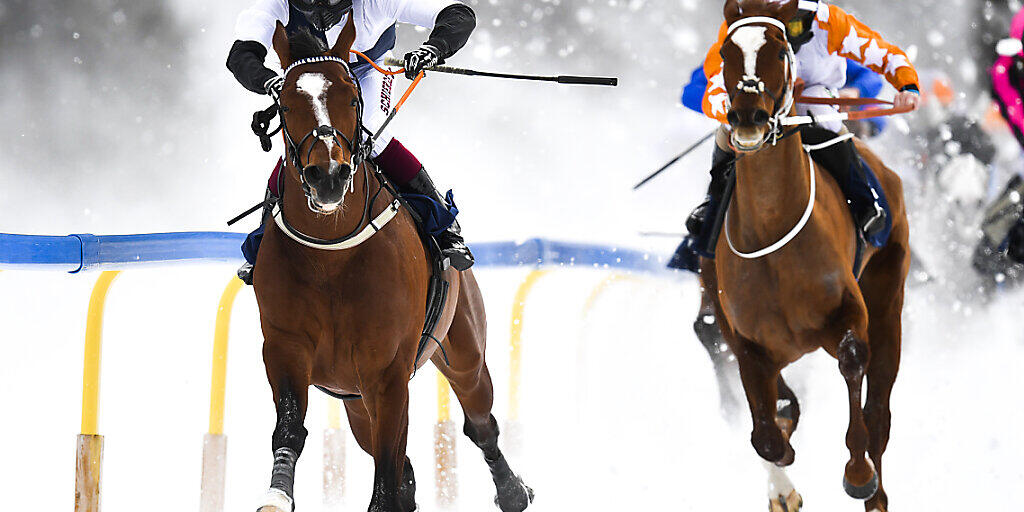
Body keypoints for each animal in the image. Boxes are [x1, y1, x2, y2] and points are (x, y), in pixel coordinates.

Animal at [250, 19, 532, 512]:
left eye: (351, 96)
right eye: (284, 102)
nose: (328, 176)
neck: (331, 254)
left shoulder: (387, 371)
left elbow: (388, 464)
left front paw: (424, 54)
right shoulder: (286, 348)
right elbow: (289, 428)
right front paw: (277, 494)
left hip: (463, 351)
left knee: (480, 421)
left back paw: (513, 490)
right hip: (351, 394)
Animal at [700, 2, 909, 509]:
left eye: (778, 50)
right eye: (727, 52)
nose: (748, 115)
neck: (774, 232)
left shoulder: (848, 314)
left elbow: (853, 363)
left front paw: (858, 473)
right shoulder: (747, 342)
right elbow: (768, 434)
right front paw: (782, 486)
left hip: (889, 299)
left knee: (879, 413)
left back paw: (875, 490)